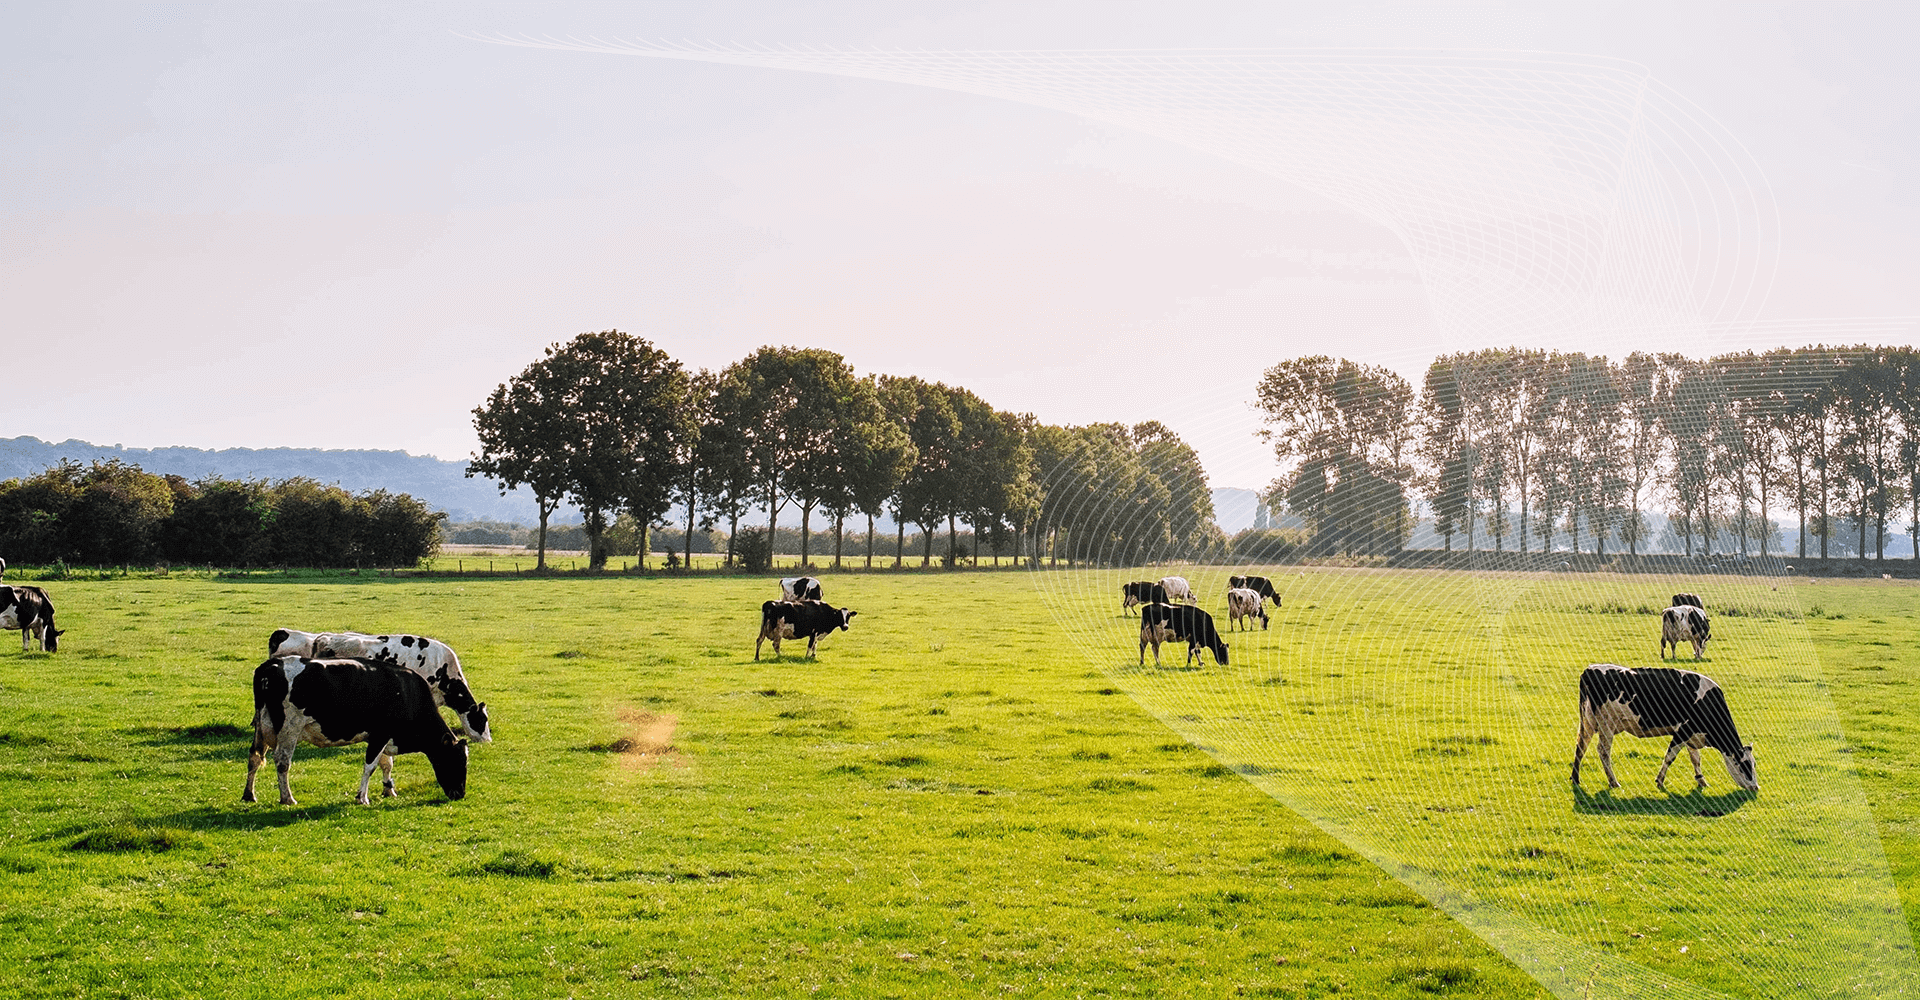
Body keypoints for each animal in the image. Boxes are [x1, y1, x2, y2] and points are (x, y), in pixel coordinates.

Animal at [243, 656, 468, 802]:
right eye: (456, 761)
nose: (460, 794)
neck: (406, 692)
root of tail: (271, 665)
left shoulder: (380, 737)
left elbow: (386, 763)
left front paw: (389, 790)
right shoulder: (381, 733)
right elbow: (370, 766)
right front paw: (362, 797)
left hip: (261, 727)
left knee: (254, 756)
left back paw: (249, 795)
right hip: (289, 728)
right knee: (282, 761)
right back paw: (287, 798)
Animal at [1566, 667, 1758, 790]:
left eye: (1754, 763)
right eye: (1745, 765)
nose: (1756, 787)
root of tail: (1589, 670)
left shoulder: (1693, 735)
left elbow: (1695, 759)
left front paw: (1701, 781)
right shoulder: (1682, 731)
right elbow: (1670, 757)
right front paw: (1660, 780)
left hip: (1588, 723)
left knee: (1581, 747)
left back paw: (1575, 778)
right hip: (1606, 724)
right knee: (1603, 751)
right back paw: (1613, 782)